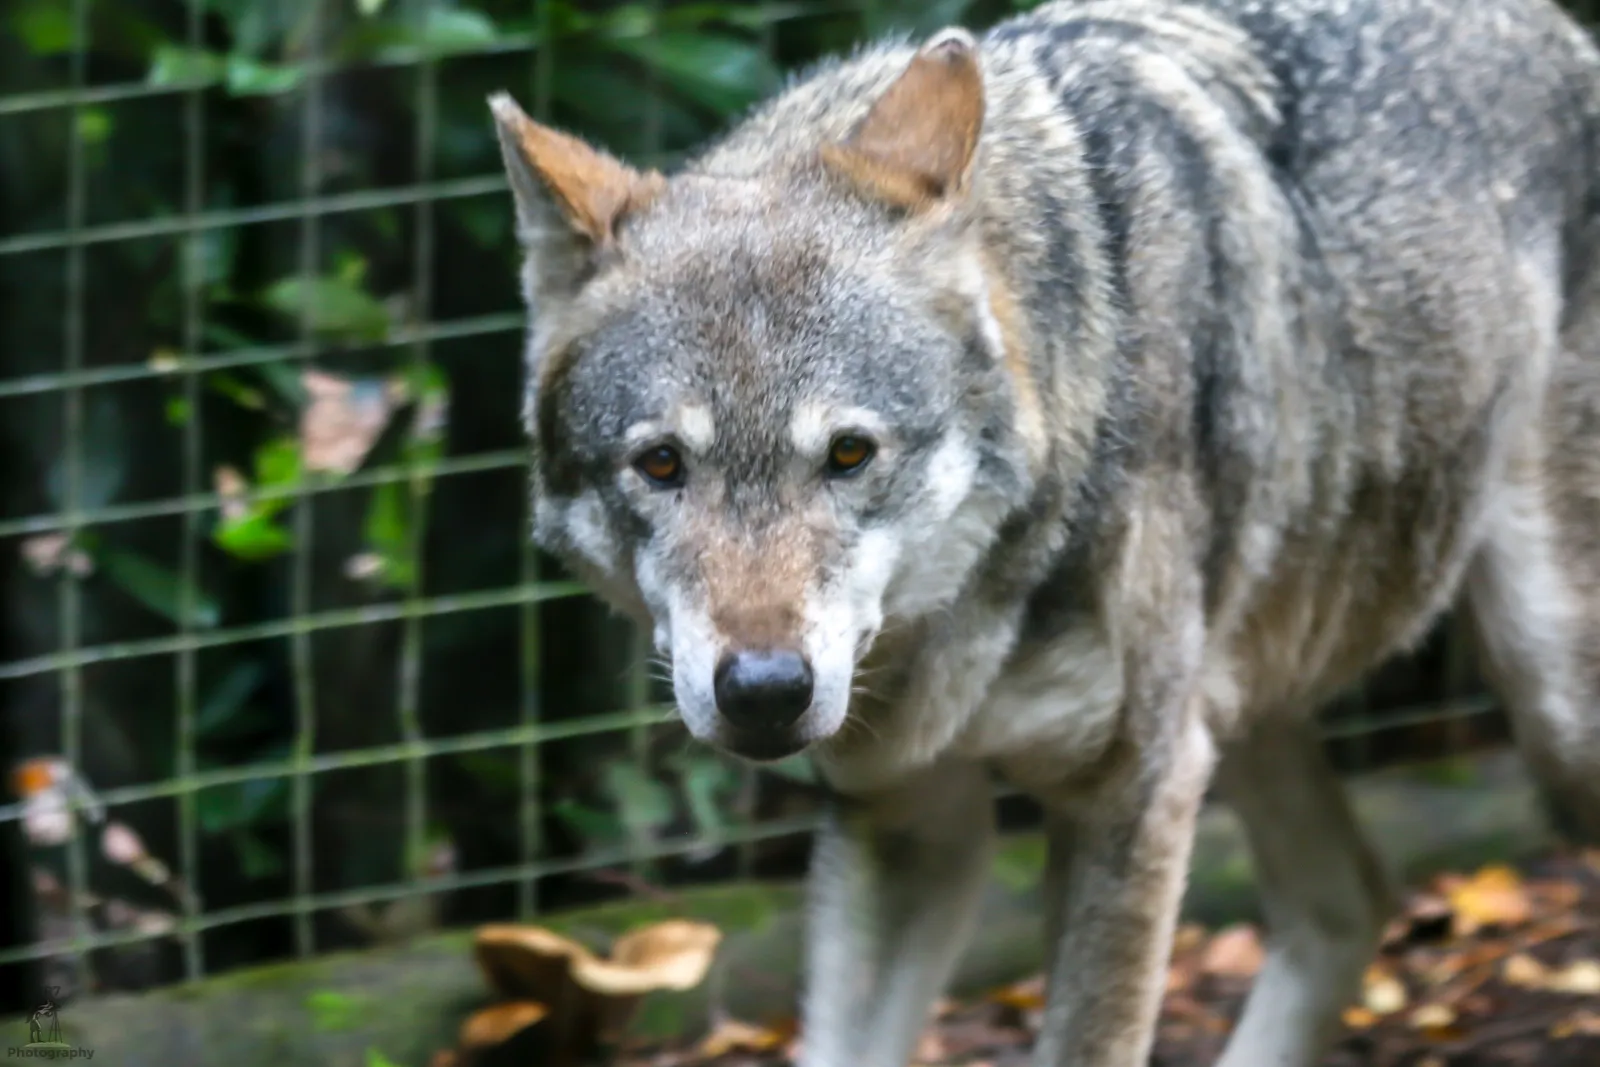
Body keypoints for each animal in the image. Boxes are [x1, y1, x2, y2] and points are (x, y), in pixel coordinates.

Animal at [488, 0, 1600, 1063]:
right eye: (661, 465)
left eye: (848, 453)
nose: (764, 691)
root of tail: (1558, 32)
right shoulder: (910, 813)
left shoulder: (1129, 795)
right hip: (1232, 708)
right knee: (1352, 898)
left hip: (1544, 696)